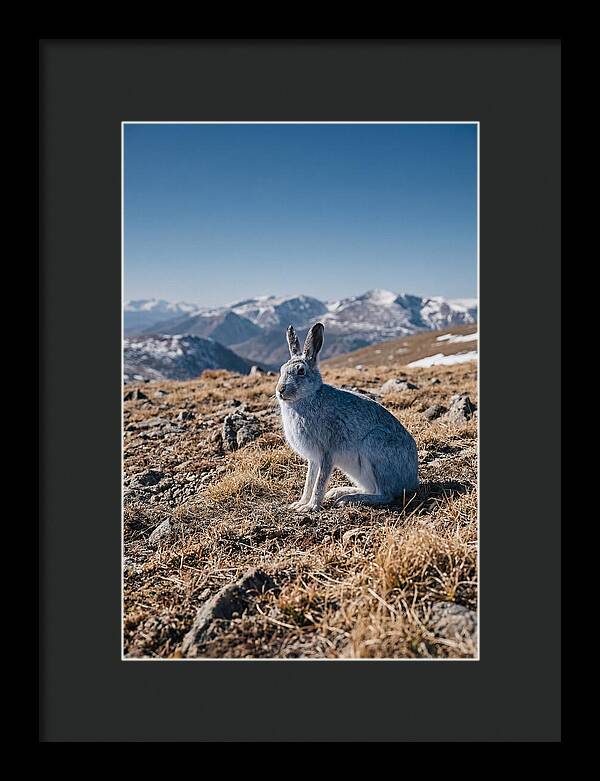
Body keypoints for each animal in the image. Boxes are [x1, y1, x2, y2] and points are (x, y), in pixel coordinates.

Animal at [276, 322, 419, 513]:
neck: (308, 397)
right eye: (281, 369)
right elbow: (309, 481)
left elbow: (319, 482)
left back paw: (348, 499)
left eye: (301, 371)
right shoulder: (313, 459)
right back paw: (339, 492)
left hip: (375, 447)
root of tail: (412, 481)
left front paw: (311, 506)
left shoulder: (327, 452)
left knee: (385, 494)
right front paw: (300, 503)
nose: (280, 390)